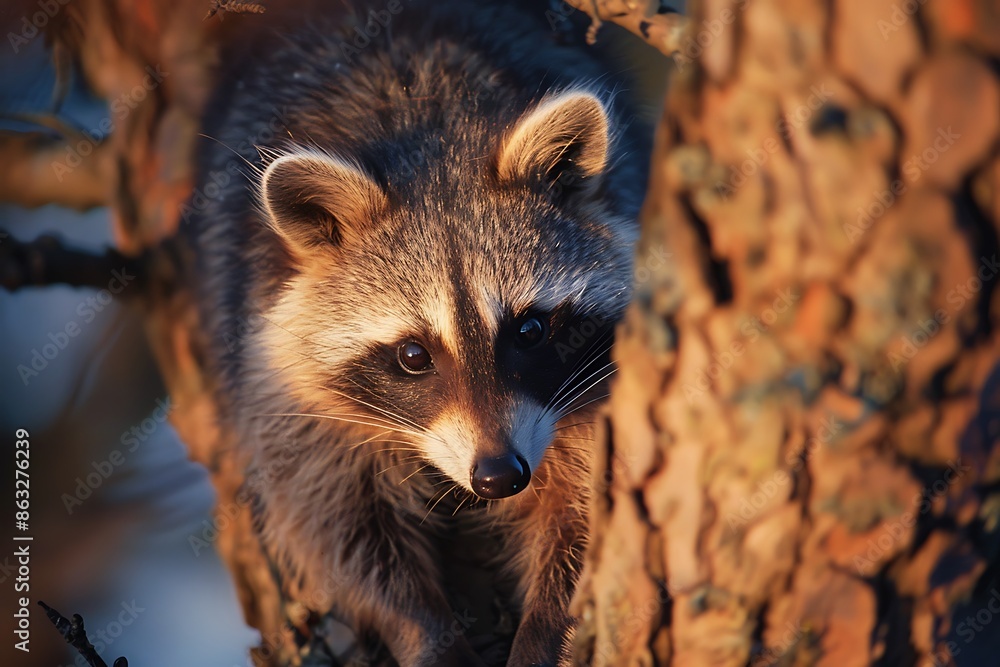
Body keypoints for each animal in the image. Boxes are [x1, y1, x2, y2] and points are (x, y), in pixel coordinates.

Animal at [189, 1, 651, 665]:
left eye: (531, 329)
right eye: (413, 354)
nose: (499, 476)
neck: (429, 130)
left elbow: (589, 512)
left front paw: (548, 626)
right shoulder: (287, 389)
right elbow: (339, 526)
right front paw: (425, 630)